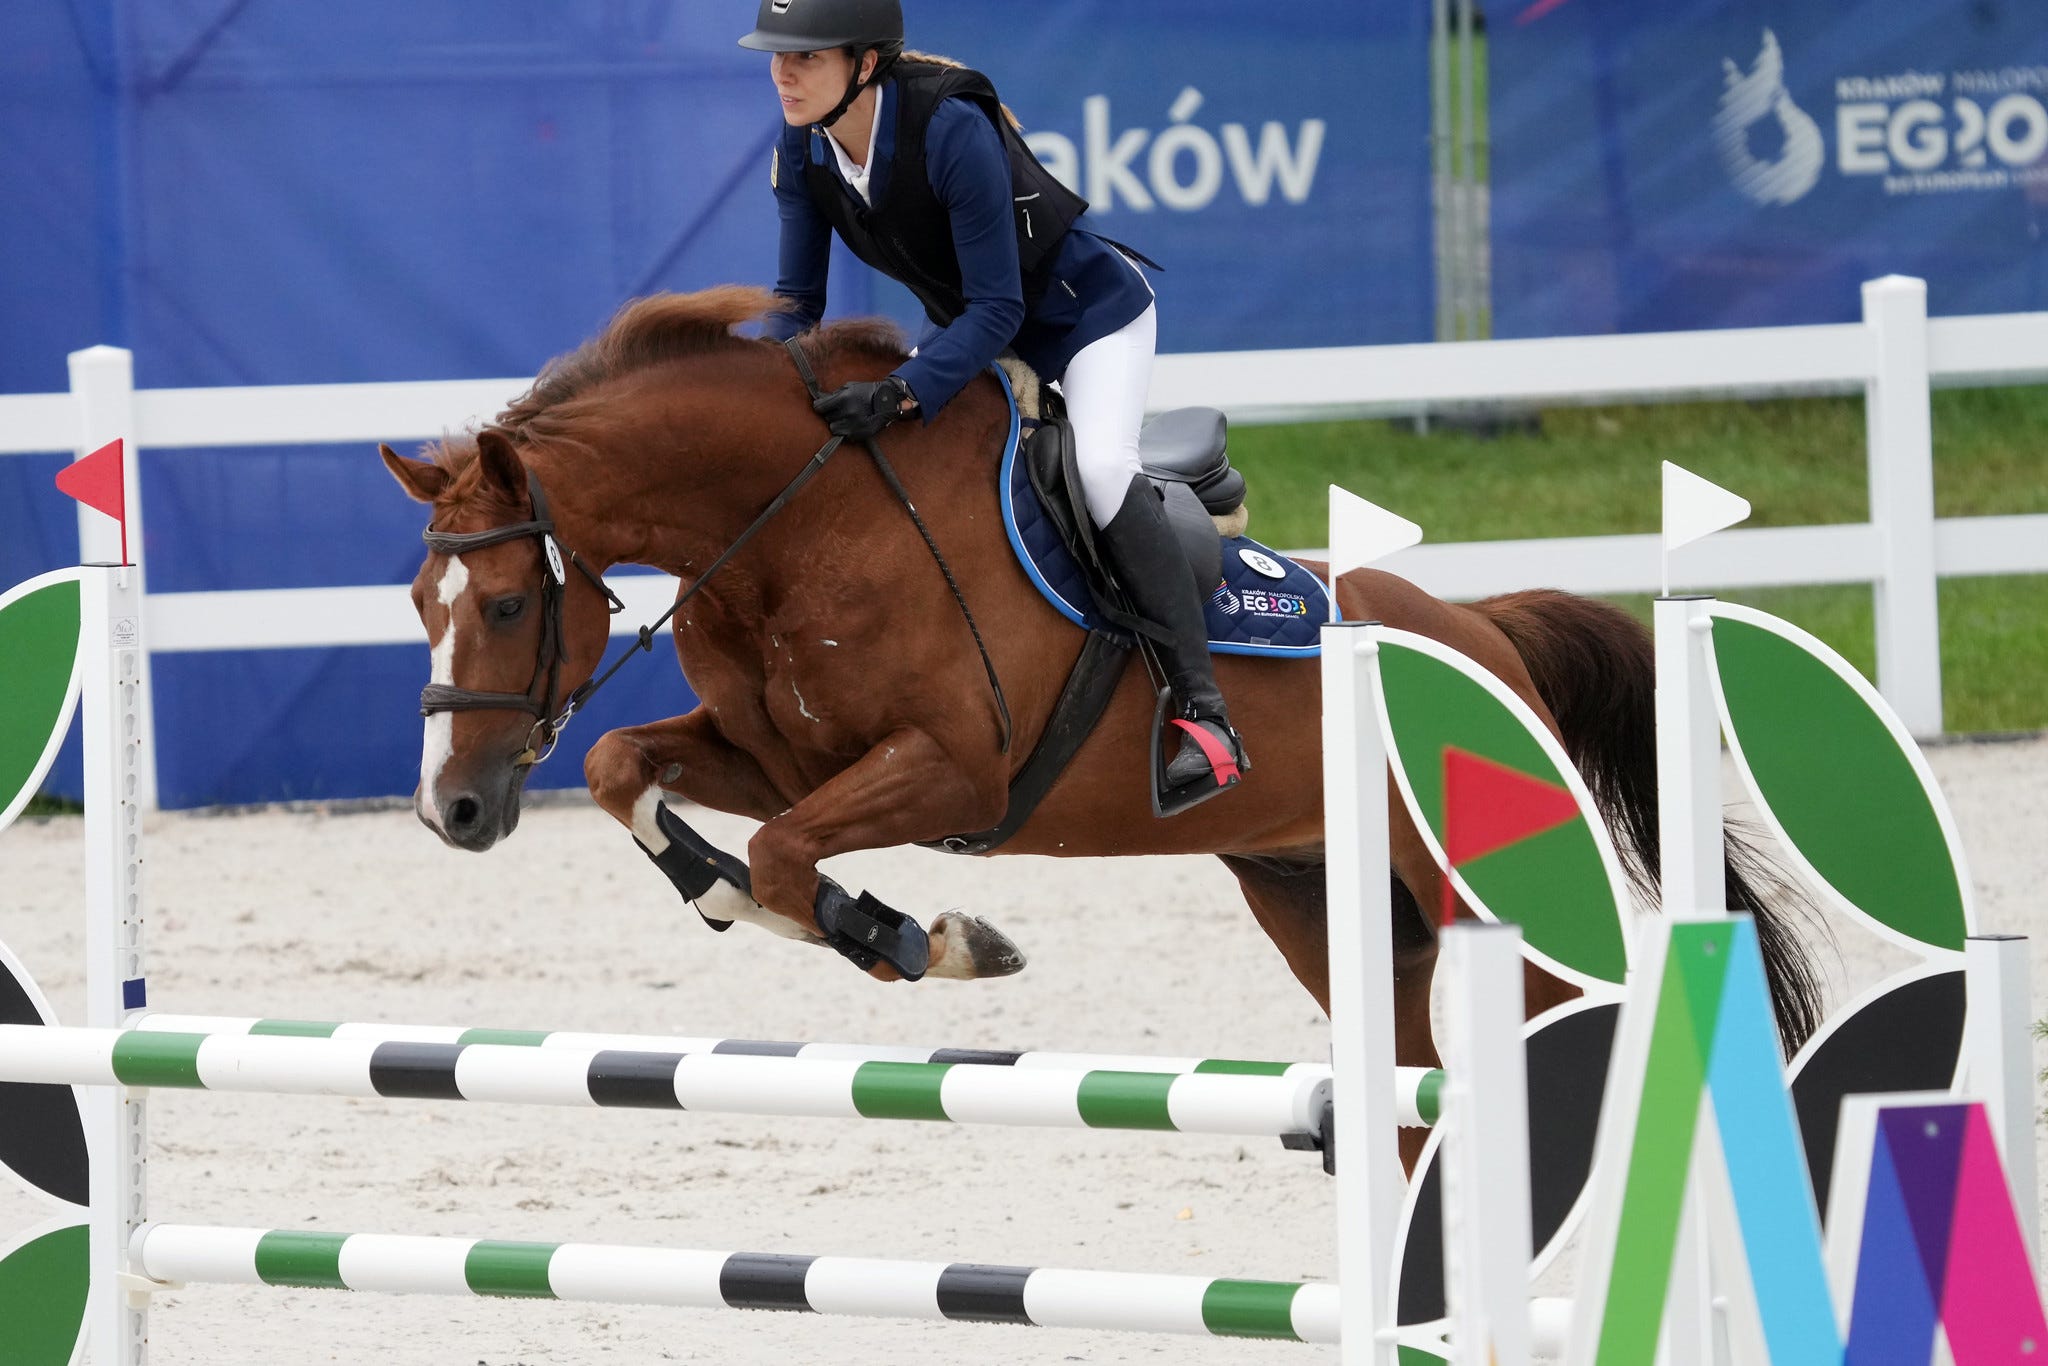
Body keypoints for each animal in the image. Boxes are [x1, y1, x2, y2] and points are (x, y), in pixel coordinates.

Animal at [385, 280, 1826, 1130]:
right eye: (416, 596)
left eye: (504, 604)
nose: (453, 808)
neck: (797, 521)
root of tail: (1483, 630)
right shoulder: (778, 752)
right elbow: (630, 771)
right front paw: (783, 905)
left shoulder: (953, 769)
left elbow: (792, 857)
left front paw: (927, 937)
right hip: (1319, 895)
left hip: (1465, 885)